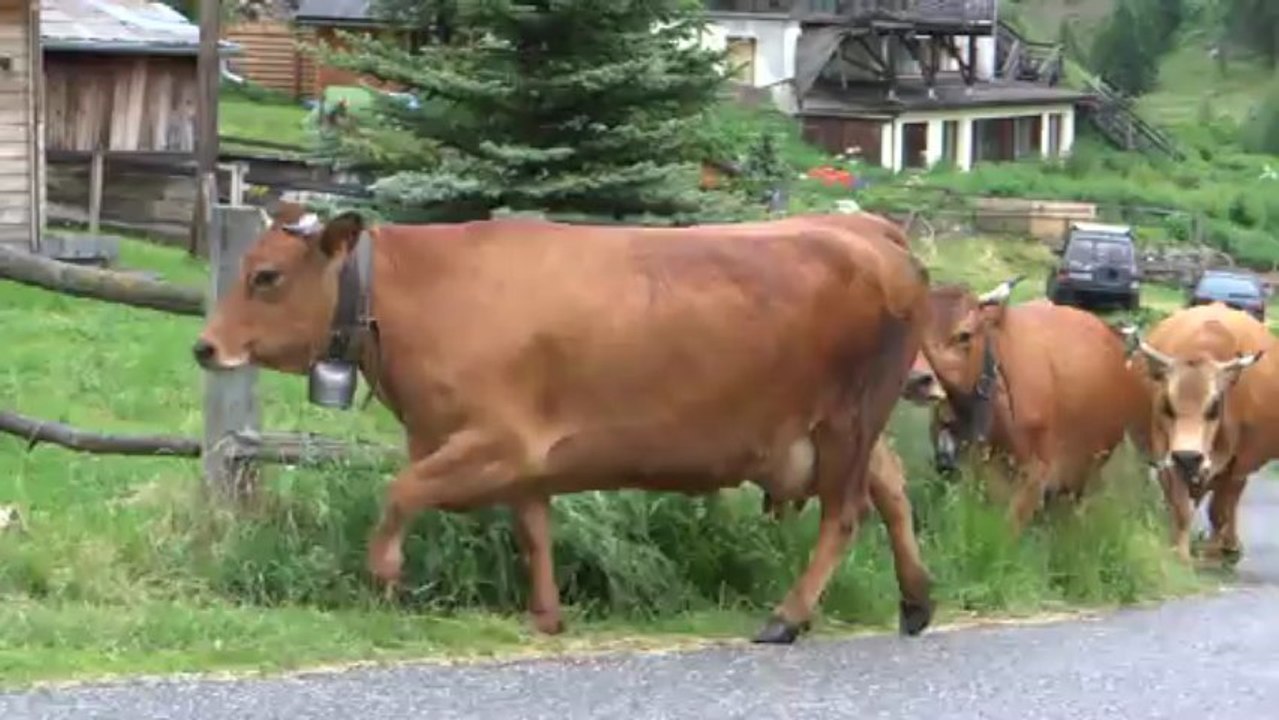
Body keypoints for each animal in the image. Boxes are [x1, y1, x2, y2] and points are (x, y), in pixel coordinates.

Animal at [192, 204, 935, 644]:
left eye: (265, 275)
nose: (204, 347)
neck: (412, 296)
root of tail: (872, 232)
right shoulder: (525, 459)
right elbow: (533, 531)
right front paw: (546, 614)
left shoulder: (497, 439)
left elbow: (402, 490)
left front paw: (387, 574)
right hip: (850, 427)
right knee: (894, 488)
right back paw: (916, 603)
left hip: (846, 419)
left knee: (846, 514)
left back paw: (787, 617)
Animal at [1127, 301, 1275, 564]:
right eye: (1167, 405)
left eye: (1215, 406)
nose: (1188, 456)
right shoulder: (1167, 455)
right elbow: (1180, 508)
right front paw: (1180, 553)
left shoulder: (1237, 463)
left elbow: (1219, 510)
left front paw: (1213, 554)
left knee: (1229, 504)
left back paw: (1229, 546)